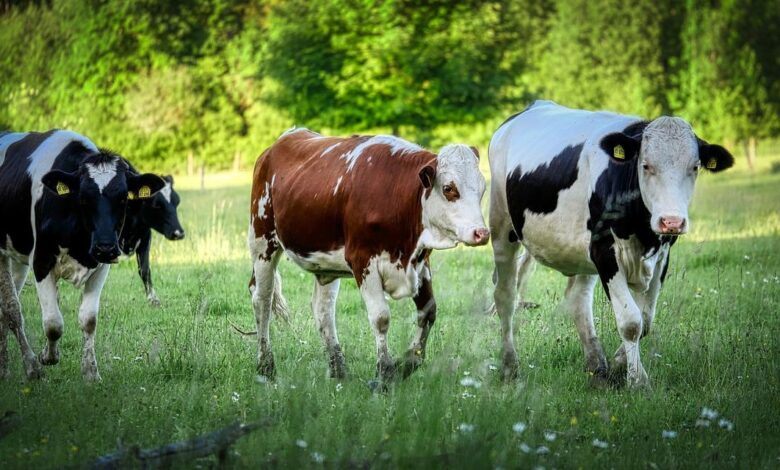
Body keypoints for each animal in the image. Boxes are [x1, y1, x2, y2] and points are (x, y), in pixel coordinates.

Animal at [0, 130, 165, 380]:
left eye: (123, 199)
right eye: (84, 198)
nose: (105, 247)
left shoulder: (101, 266)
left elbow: (89, 319)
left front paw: (90, 373)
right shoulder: (41, 261)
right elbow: (53, 323)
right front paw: (47, 357)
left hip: (18, 259)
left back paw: (5, 367)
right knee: (11, 310)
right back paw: (30, 366)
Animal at [119, 167, 184, 306]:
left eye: (177, 201)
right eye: (156, 204)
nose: (179, 233)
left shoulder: (145, 236)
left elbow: (144, 269)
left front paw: (153, 299)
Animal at [247, 127, 488, 382]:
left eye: (483, 188)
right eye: (449, 189)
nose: (482, 233)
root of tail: (285, 138)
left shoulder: (421, 262)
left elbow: (428, 311)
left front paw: (408, 362)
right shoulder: (363, 260)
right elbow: (381, 318)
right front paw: (384, 373)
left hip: (325, 263)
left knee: (323, 309)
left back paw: (338, 370)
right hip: (262, 241)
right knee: (262, 299)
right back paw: (266, 367)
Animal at [490, 101, 736, 388]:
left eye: (695, 167)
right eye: (645, 165)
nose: (672, 221)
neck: (642, 231)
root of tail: (535, 105)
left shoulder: (662, 254)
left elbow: (646, 319)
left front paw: (620, 364)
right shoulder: (604, 250)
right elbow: (631, 322)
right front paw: (637, 380)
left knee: (578, 299)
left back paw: (596, 366)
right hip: (502, 228)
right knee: (505, 296)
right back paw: (510, 368)